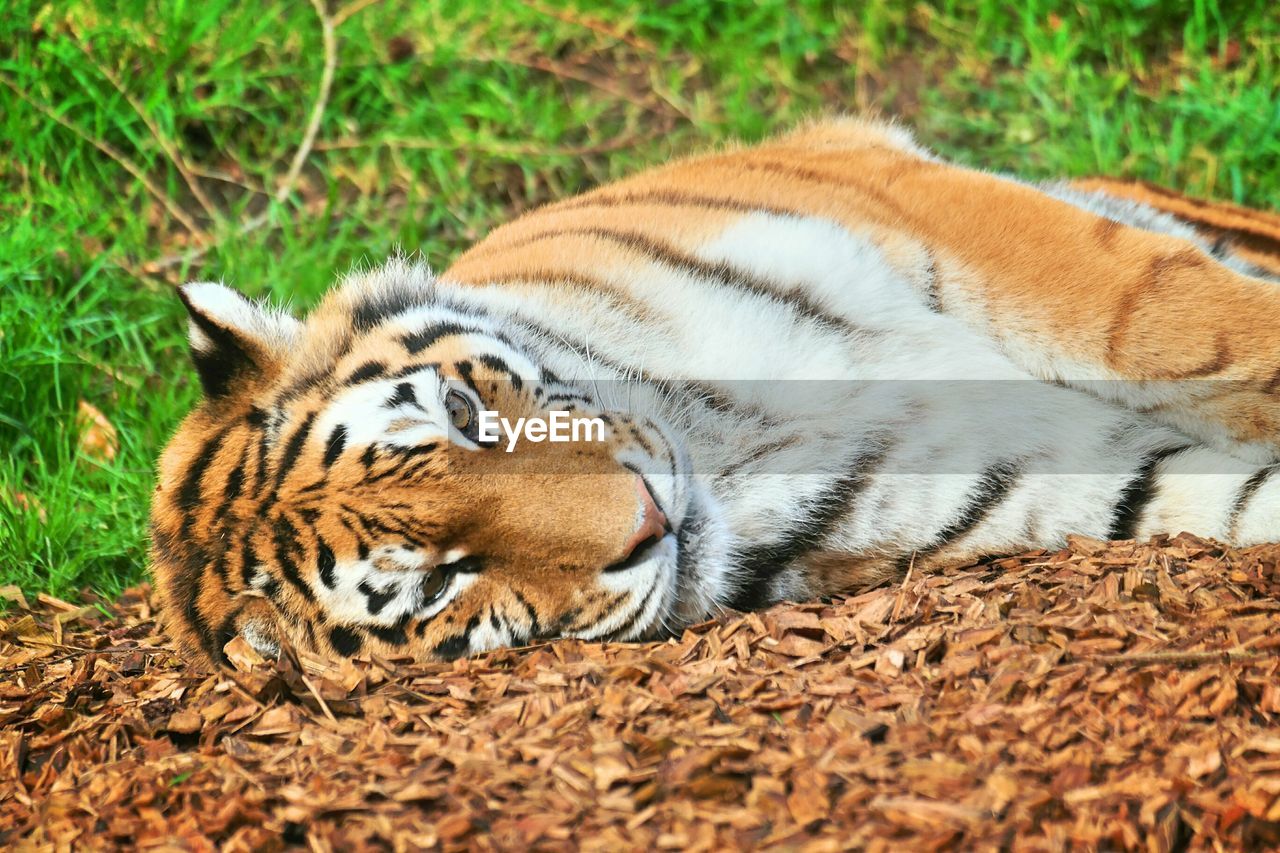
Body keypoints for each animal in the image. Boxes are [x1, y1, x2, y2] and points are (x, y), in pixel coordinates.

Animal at [152, 117, 1280, 666]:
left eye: (466, 418)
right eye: (438, 581)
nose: (649, 519)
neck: (735, 444)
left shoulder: (941, 220)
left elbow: (1193, 329)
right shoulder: (1045, 475)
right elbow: (1232, 496)